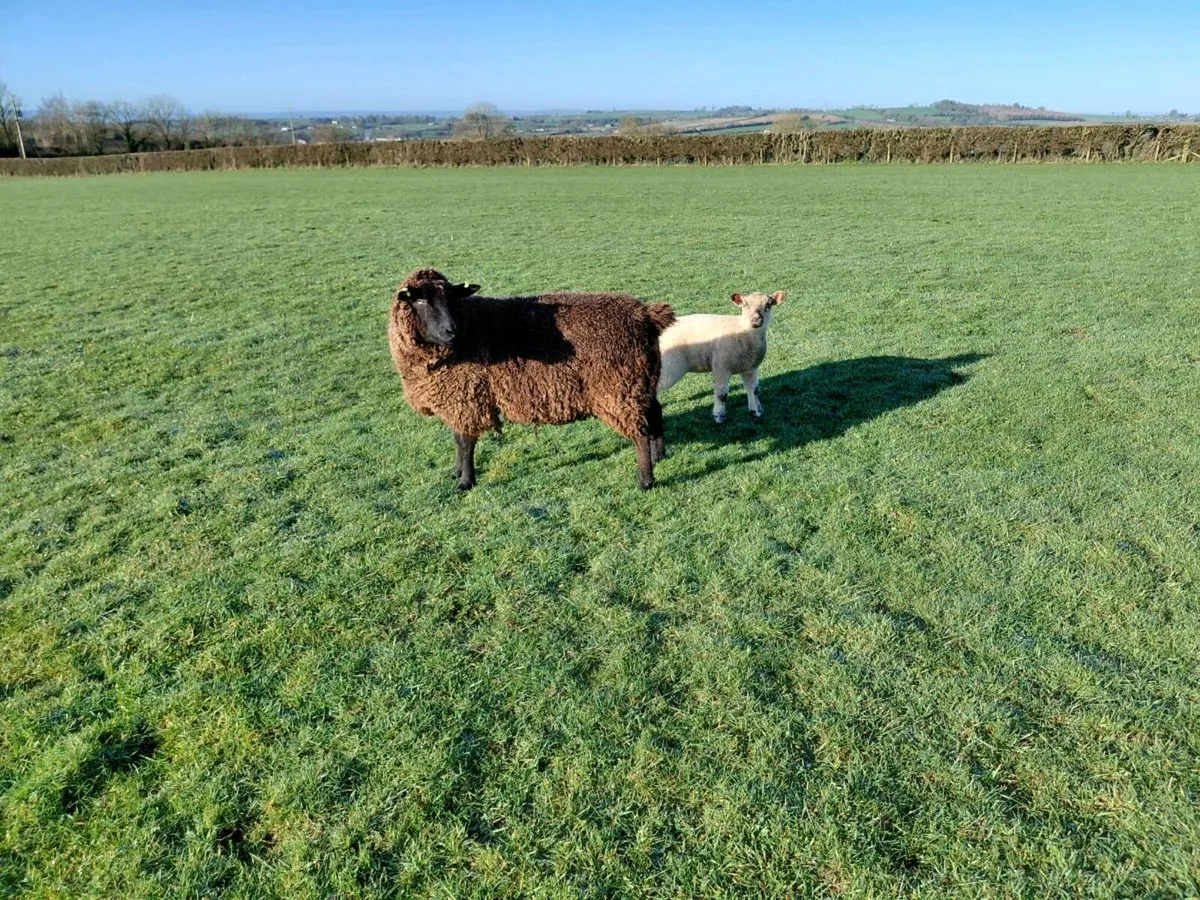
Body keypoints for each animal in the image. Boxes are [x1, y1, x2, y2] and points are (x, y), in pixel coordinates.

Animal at [387, 267, 676, 491]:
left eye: (453, 300)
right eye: (420, 301)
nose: (452, 331)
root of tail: (645, 315)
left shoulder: (467, 395)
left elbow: (465, 441)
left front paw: (465, 482)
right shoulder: (457, 397)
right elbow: (457, 439)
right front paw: (457, 472)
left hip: (618, 386)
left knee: (639, 431)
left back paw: (646, 480)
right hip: (641, 380)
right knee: (654, 413)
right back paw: (659, 456)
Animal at [657, 290, 786, 423]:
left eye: (768, 304)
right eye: (745, 305)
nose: (756, 319)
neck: (742, 331)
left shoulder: (751, 367)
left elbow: (754, 390)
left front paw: (756, 411)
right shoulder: (721, 366)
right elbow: (722, 394)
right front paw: (719, 416)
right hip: (669, 367)